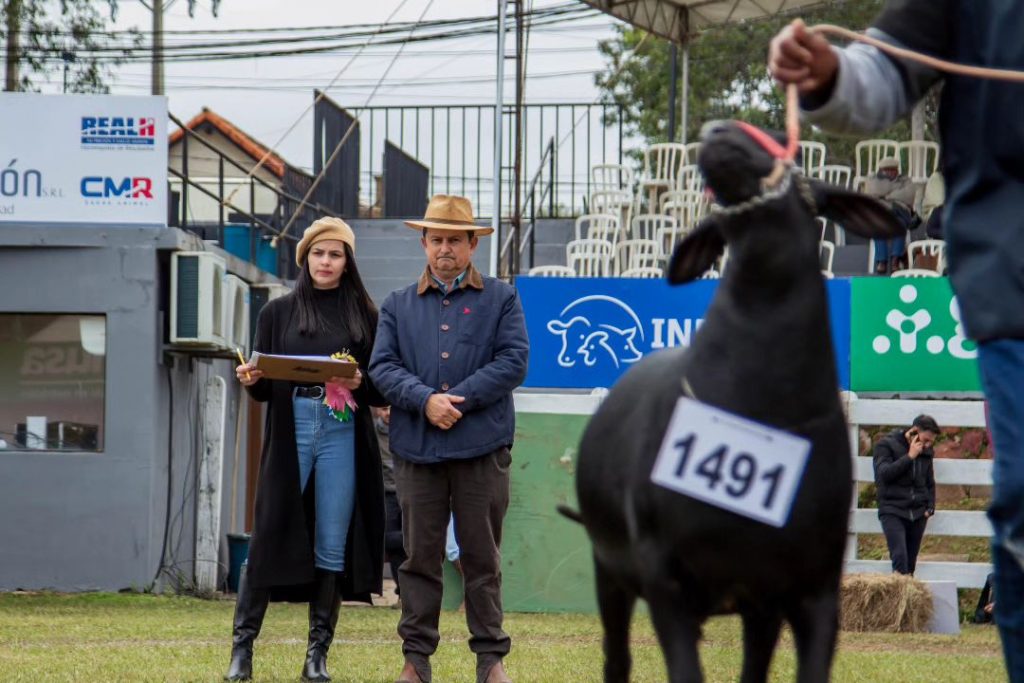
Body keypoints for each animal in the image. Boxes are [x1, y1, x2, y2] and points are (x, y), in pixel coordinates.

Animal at [565, 122, 909, 683]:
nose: (719, 130)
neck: (760, 396)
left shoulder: (813, 591)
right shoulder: (666, 582)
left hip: (757, 607)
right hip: (609, 571)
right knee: (616, 657)